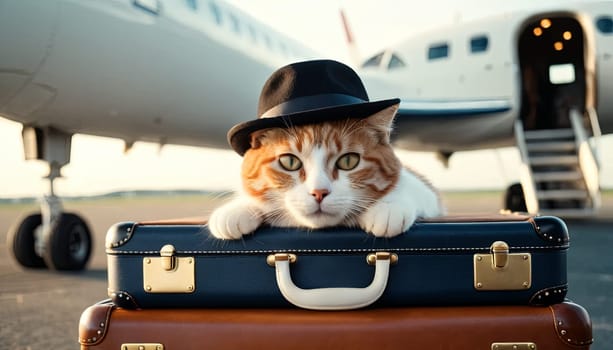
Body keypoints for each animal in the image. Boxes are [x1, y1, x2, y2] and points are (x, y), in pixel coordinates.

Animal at [208, 103, 442, 241]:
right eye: (290, 162)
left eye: (348, 161)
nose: (319, 193)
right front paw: (236, 209)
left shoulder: (426, 191)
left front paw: (388, 207)